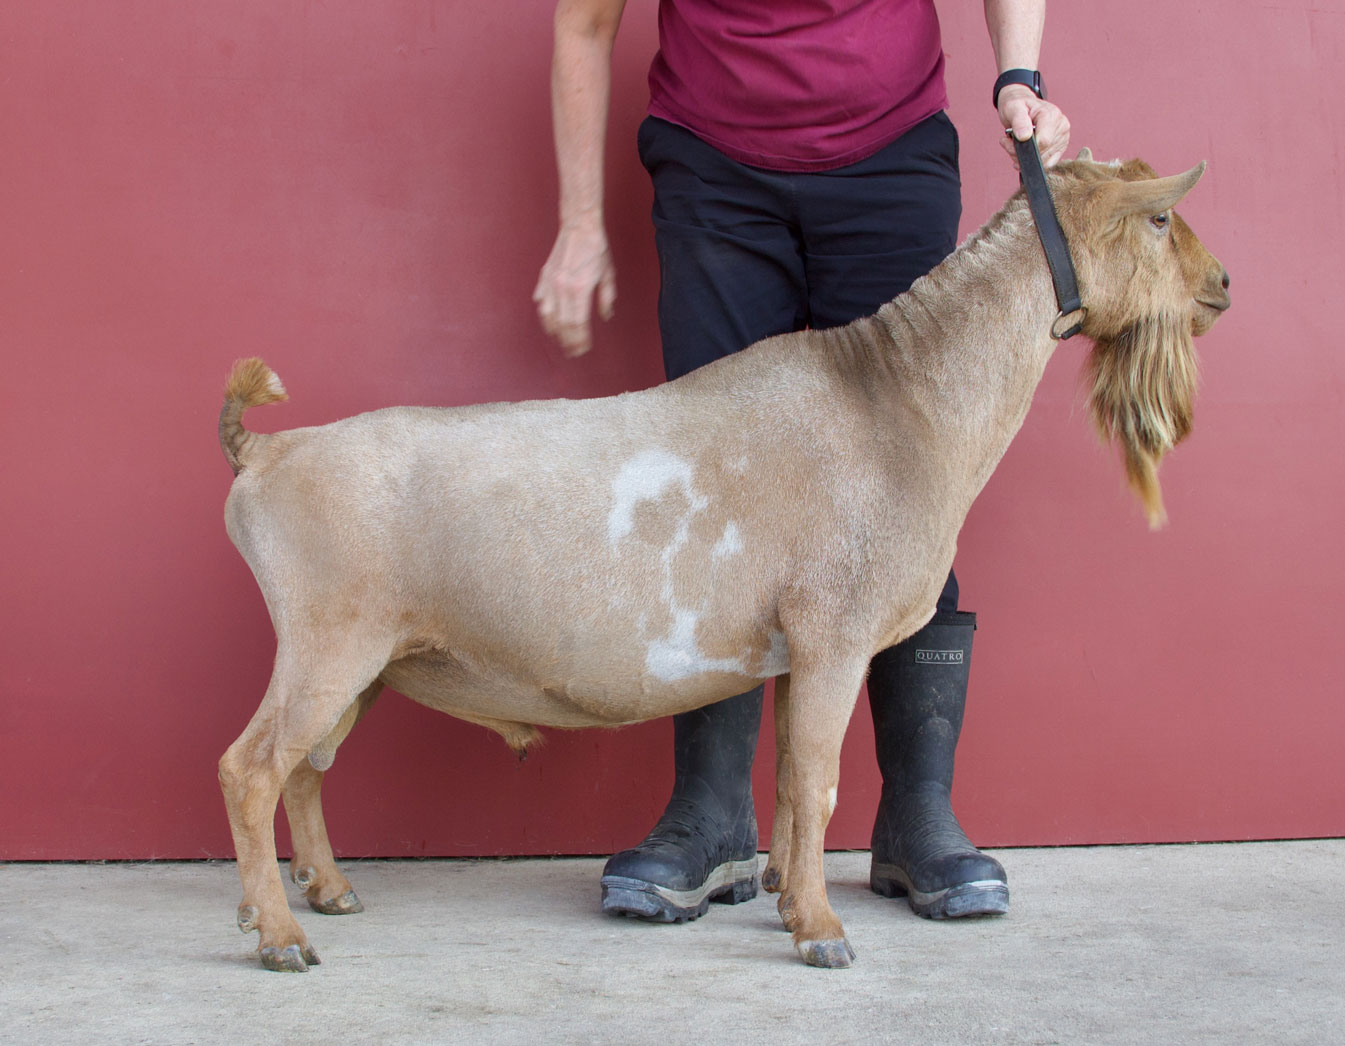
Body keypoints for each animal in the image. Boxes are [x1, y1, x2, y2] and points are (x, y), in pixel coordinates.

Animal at [217, 148, 1232, 968]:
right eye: (1157, 218)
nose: (1221, 284)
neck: (895, 405)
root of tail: (265, 453)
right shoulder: (833, 635)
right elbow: (815, 784)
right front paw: (820, 932)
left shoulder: (792, 649)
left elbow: (785, 781)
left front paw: (783, 895)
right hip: (328, 638)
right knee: (253, 769)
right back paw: (279, 934)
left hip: (366, 661)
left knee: (307, 769)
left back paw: (329, 892)